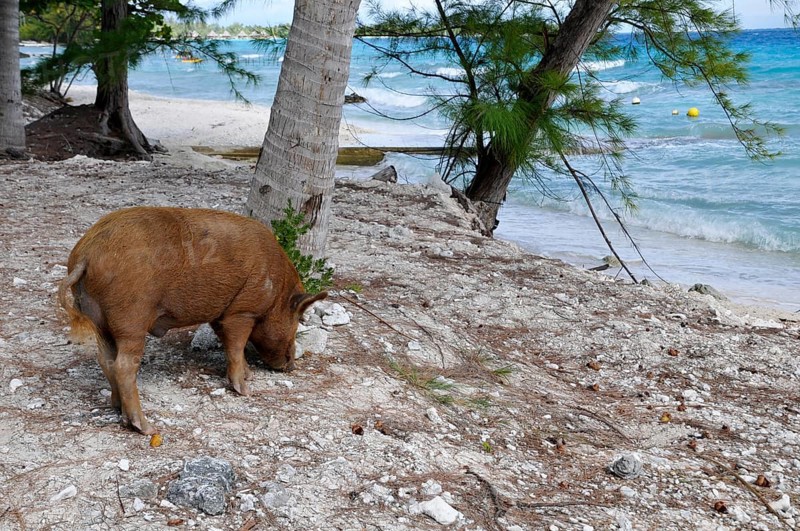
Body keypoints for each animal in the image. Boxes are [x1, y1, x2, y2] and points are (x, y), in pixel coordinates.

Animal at [58, 207, 327, 434]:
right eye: (298, 319)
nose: (291, 366)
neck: (277, 291)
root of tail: (86, 254)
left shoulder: (220, 315)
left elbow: (231, 346)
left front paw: (249, 375)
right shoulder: (242, 311)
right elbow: (236, 346)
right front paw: (245, 390)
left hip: (100, 323)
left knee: (105, 360)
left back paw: (117, 409)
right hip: (131, 319)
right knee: (123, 366)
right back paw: (147, 428)